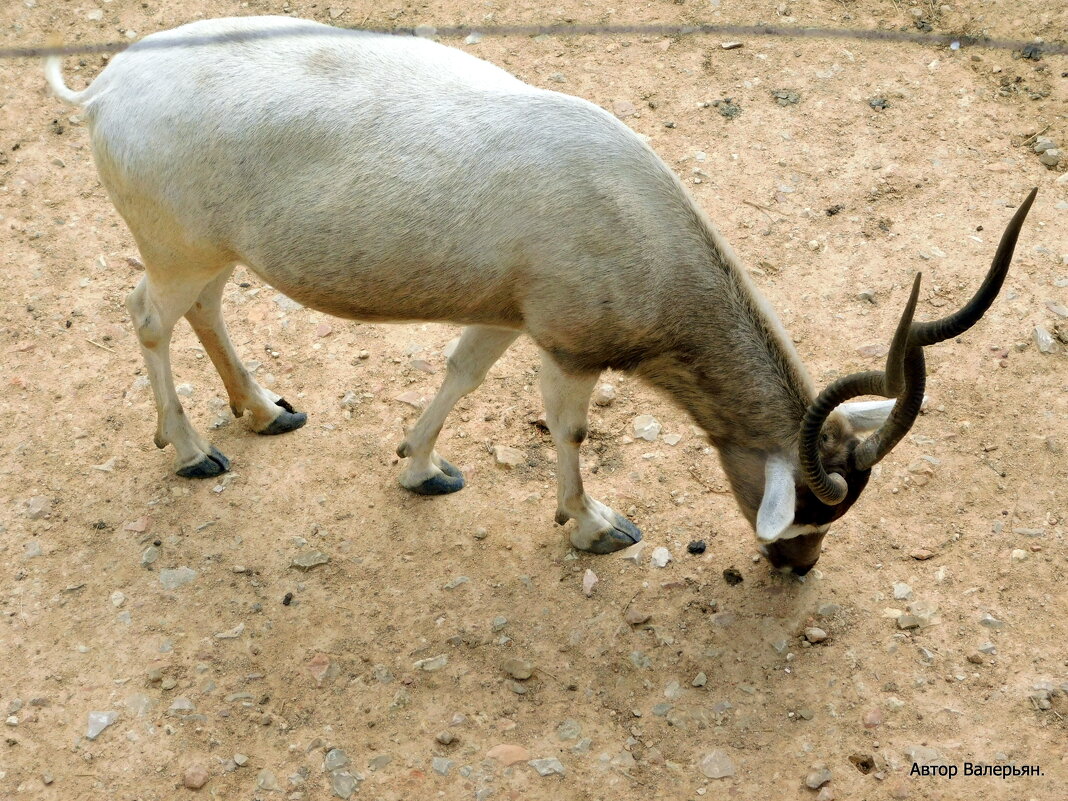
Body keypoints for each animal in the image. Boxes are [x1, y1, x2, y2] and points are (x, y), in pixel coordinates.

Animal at [45, 15, 1038, 572]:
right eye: (815, 508)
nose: (797, 567)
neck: (632, 208)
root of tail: (104, 86)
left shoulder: (502, 312)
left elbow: (460, 375)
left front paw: (420, 466)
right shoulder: (566, 344)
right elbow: (569, 432)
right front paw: (592, 526)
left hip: (211, 253)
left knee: (205, 310)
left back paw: (263, 410)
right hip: (177, 250)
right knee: (149, 317)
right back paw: (191, 450)